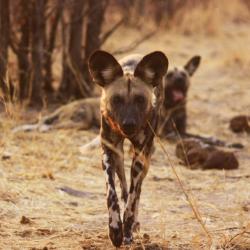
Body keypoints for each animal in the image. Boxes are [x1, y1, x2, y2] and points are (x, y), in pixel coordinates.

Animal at [88, 50, 168, 246]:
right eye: (116, 100)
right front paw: (115, 228)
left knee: (136, 191)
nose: (129, 124)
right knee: (124, 186)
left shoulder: (139, 156)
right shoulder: (109, 153)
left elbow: (133, 198)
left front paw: (127, 230)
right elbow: (112, 194)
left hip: (145, 158)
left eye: (140, 100)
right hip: (119, 157)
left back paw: (134, 224)